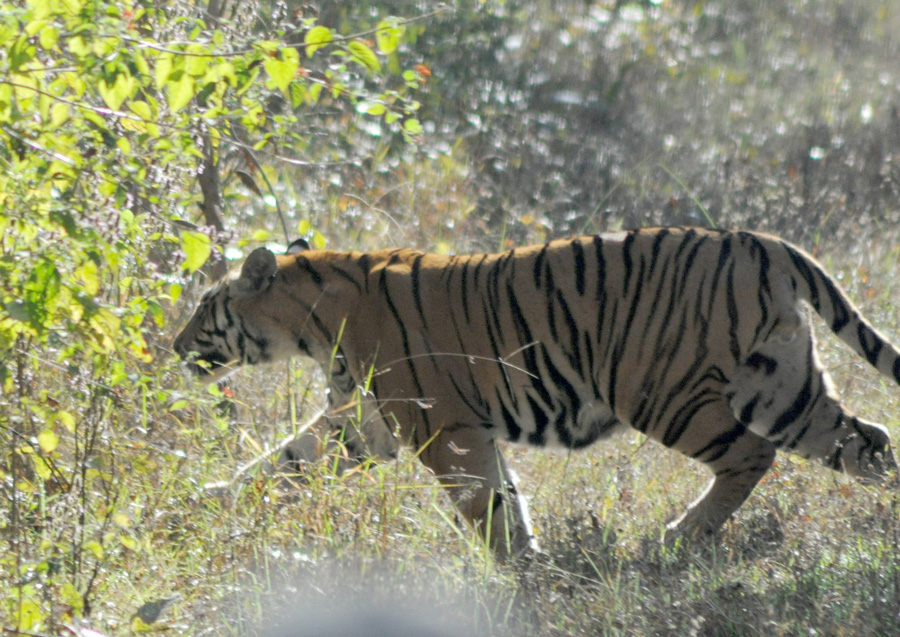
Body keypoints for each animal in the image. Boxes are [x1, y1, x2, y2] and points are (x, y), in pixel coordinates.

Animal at [173, 226, 899, 560]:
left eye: (205, 305)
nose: (175, 347)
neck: (312, 323)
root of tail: (760, 242)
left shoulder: (440, 430)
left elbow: (489, 504)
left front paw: (523, 570)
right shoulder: (361, 423)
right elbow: (281, 463)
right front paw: (201, 502)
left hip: (665, 391)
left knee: (751, 454)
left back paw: (678, 535)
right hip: (781, 383)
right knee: (867, 439)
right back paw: (886, 521)